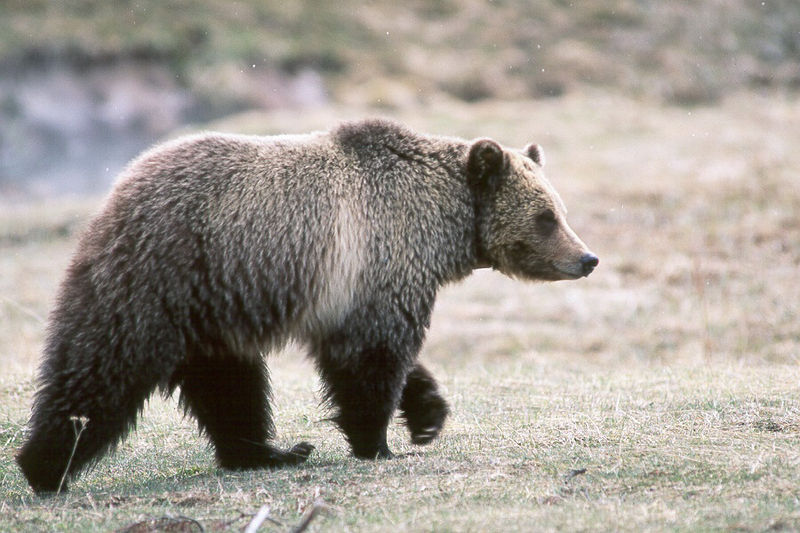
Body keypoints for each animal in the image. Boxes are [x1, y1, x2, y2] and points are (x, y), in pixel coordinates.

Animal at [17, 118, 592, 492]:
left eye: (560, 210)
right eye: (545, 216)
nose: (587, 258)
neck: (442, 223)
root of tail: (117, 191)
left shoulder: (362, 290)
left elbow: (383, 354)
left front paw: (427, 413)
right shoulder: (377, 259)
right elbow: (371, 359)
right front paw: (377, 441)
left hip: (212, 307)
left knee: (230, 386)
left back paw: (268, 453)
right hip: (161, 278)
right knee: (102, 370)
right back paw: (44, 466)